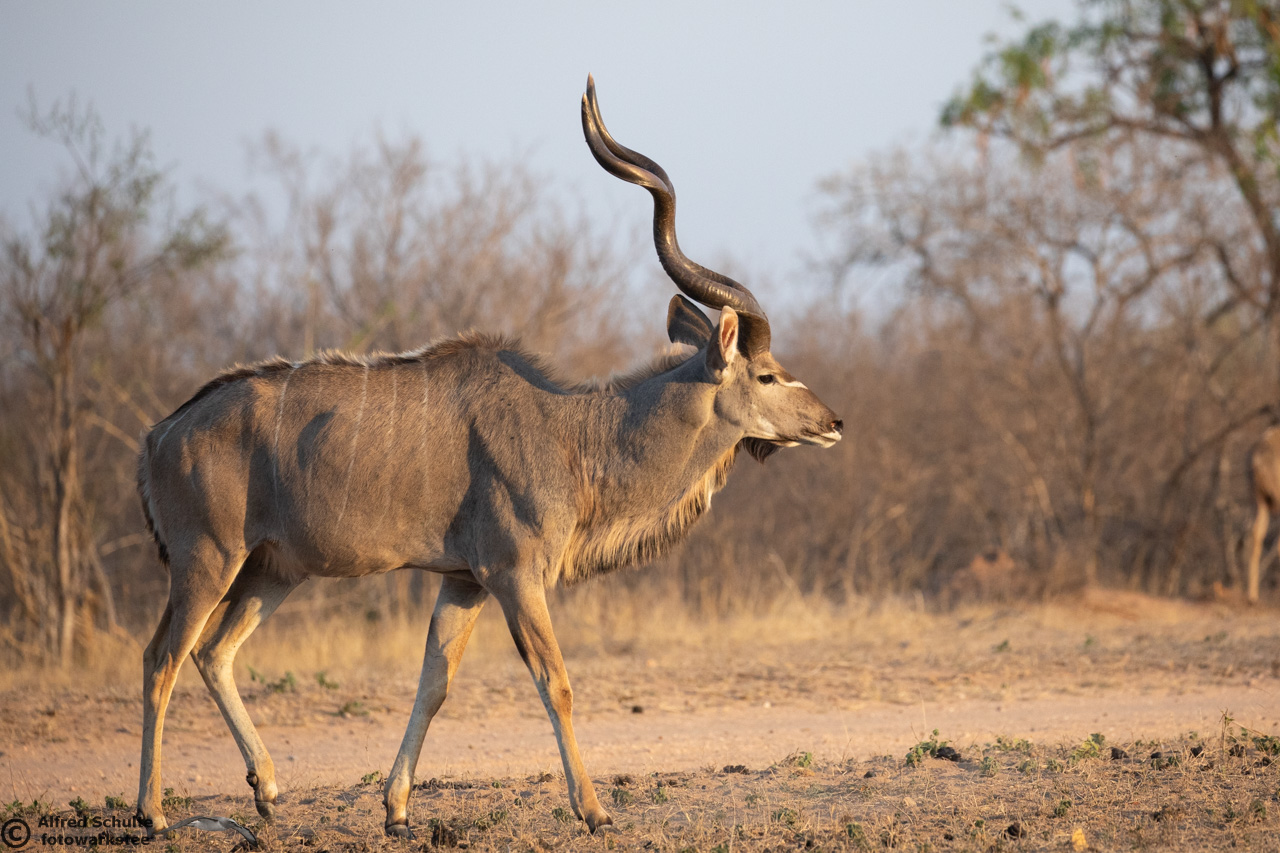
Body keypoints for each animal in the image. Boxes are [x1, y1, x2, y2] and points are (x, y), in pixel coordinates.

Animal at [134, 76, 842, 838]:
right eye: (766, 374)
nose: (832, 423)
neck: (573, 434)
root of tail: (159, 436)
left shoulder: (462, 581)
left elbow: (435, 682)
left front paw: (398, 810)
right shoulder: (515, 573)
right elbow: (556, 681)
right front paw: (594, 810)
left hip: (272, 568)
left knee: (213, 652)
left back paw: (266, 789)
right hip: (208, 559)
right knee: (162, 657)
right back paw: (153, 812)